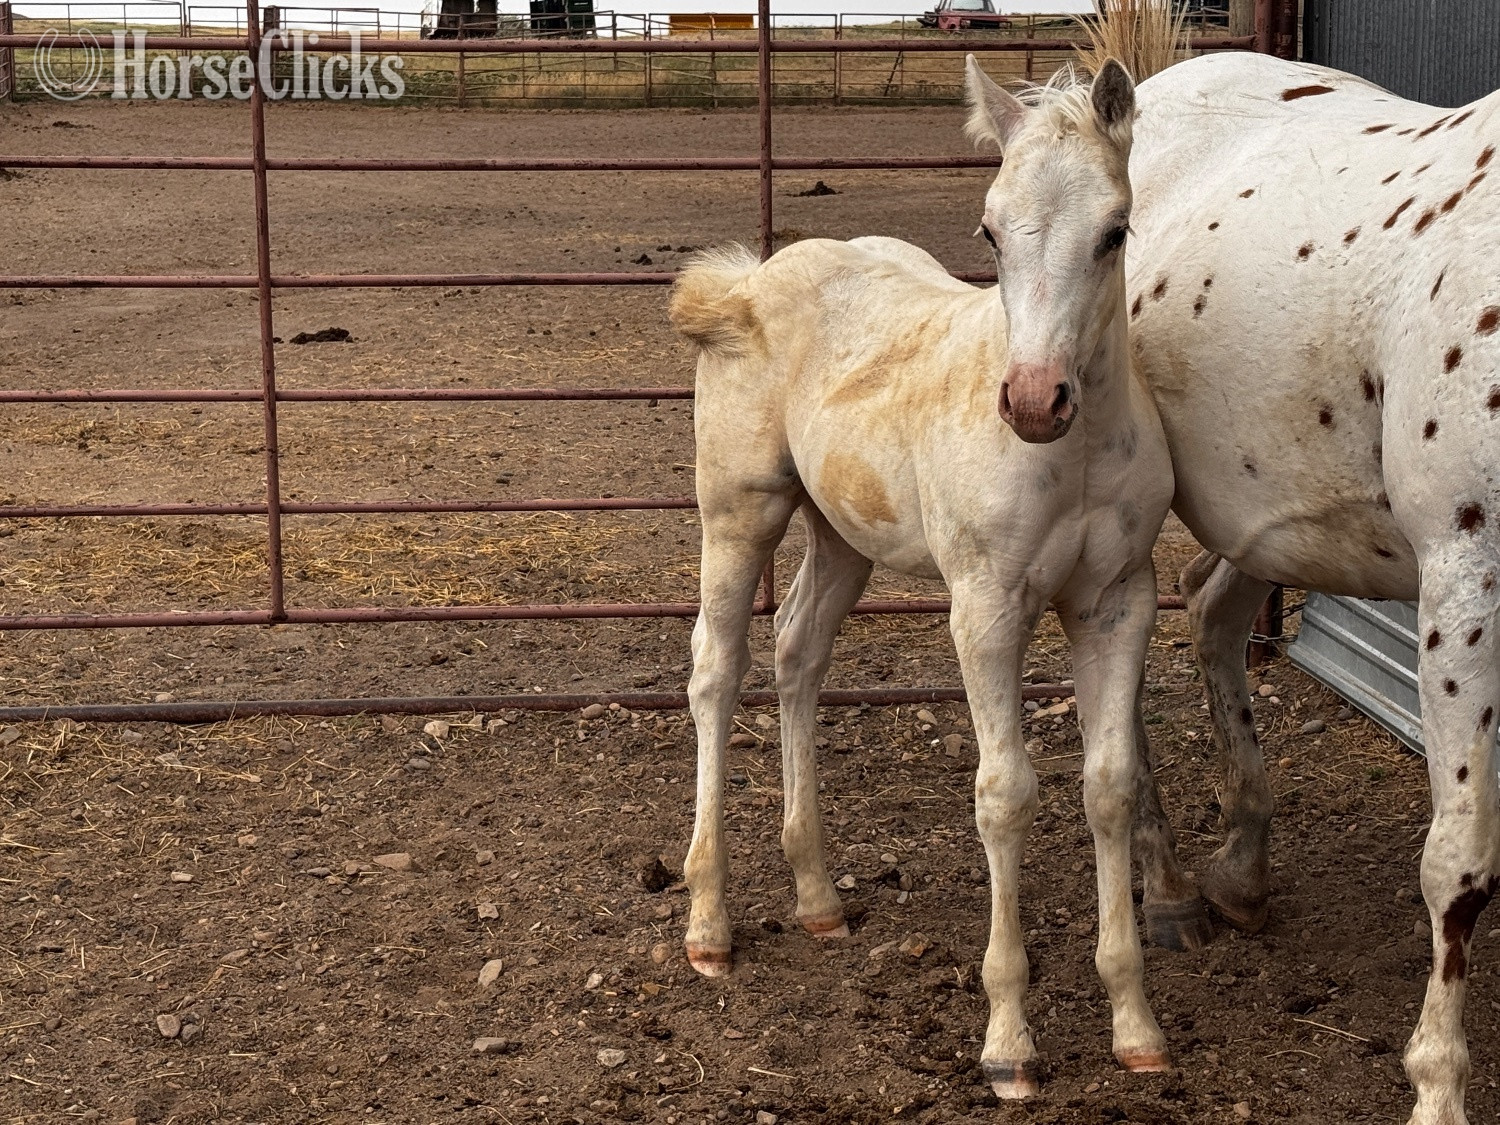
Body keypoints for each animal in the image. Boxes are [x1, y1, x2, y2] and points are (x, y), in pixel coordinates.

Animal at [669, 59, 1191, 1098]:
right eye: (988, 228)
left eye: (1115, 229)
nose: (1033, 401)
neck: (1070, 454)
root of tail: (751, 278)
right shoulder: (985, 607)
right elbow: (1007, 792)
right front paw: (1009, 1041)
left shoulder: (1119, 601)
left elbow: (1109, 784)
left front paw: (1136, 1022)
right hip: (740, 510)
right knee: (718, 666)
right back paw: (709, 923)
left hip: (841, 532)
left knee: (798, 652)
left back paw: (819, 895)